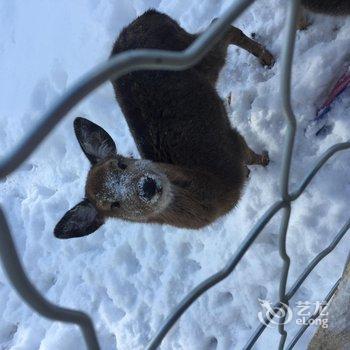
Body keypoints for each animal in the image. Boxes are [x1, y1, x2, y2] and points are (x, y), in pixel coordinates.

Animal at [54, 8, 274, 238]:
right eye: (114, 204)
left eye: (122, 164)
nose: (147, 186)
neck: (215, 177)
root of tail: (147, 15)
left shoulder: (231, 141)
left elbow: (252, 156)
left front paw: (267, 159)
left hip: (191, 53)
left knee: (223, 28)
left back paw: (267, 58)